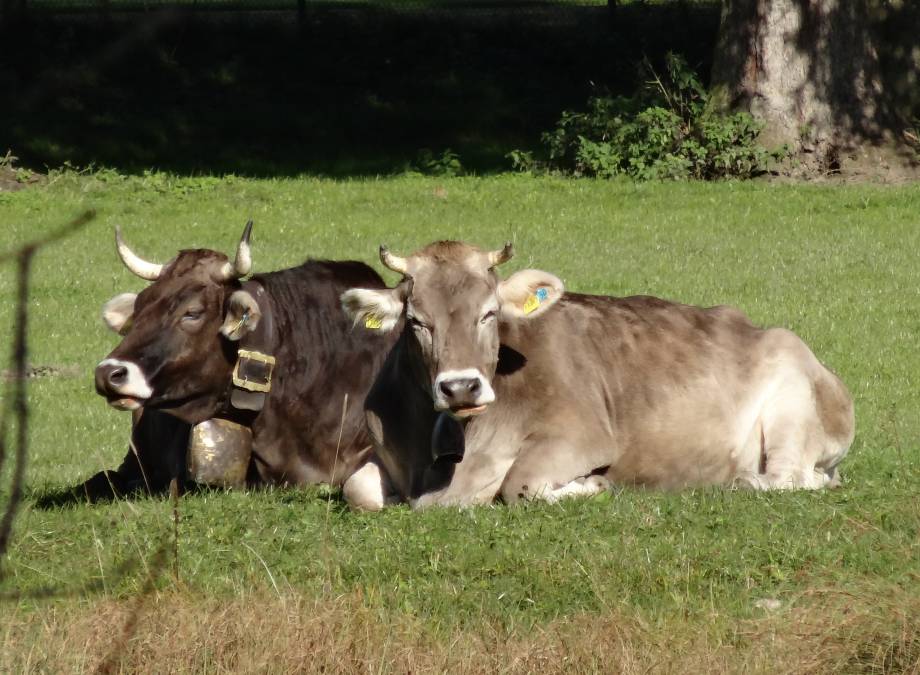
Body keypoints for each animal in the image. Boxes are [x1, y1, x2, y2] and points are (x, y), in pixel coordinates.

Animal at [338, 240, 856, 510]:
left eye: (489, 313)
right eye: (416, 321)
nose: (461, 386)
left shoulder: (582, 434)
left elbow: (519, 483)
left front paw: (590, 486)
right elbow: (356, 487)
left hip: (793, 399)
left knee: (791, 476)